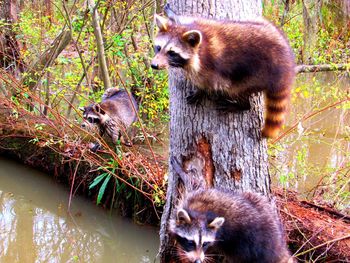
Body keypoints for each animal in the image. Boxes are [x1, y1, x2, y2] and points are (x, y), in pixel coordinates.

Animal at [151, 5, 296, 139]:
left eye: (172, 53)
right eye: (158, 47)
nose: (154, 65)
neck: (198, 47)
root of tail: (286, 68)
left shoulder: (209, 67)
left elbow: (210, 83)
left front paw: (200, 91)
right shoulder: (197, 24)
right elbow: (184, 18)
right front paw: (171, 14)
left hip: (257, 74)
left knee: (236, 89)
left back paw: (241, 105)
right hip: (265, 25)